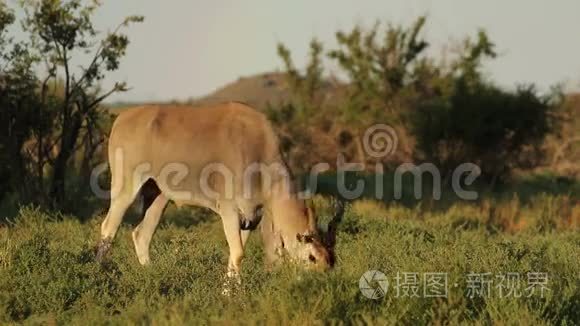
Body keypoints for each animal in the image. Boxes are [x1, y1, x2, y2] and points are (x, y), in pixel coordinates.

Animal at [96, 102, 344, 282]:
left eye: (331, 260)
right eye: (312, 257)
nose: (318, 283)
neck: (257, 149)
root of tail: (121, 119)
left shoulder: (250, 218)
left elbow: (237, 253)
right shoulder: (229, 211)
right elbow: (239, 253)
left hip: (158, 197)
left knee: (141, 235)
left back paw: (151, 276)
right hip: (126, 189)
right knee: (108, 228)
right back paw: (99, 274)